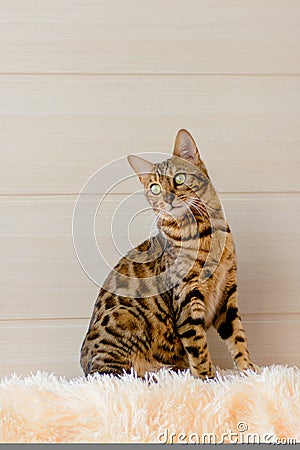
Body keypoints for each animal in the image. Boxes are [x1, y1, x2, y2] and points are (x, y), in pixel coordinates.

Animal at [81, 128, 256, 378]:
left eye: (179, 179)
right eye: (155, 188)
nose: (168, 198)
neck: (206, 233)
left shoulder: (227, 293)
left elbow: (238, 337)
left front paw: (249, 371)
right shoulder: (186, 296)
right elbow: (199, 348)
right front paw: (208, 379)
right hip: (124, 319)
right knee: (116, 375)